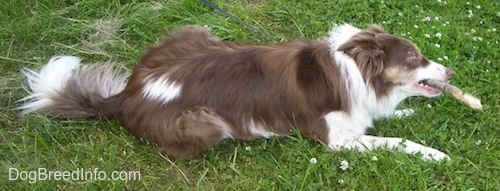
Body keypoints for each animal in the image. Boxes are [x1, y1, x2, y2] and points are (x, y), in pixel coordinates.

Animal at [18, 23, 454, 161]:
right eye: (414, 57)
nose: (449, 71)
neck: (358, 72)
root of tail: (129, 93)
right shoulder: (336, 141)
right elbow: (395, 141)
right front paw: (433, 153)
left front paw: (406, 114)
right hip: (206, 124)